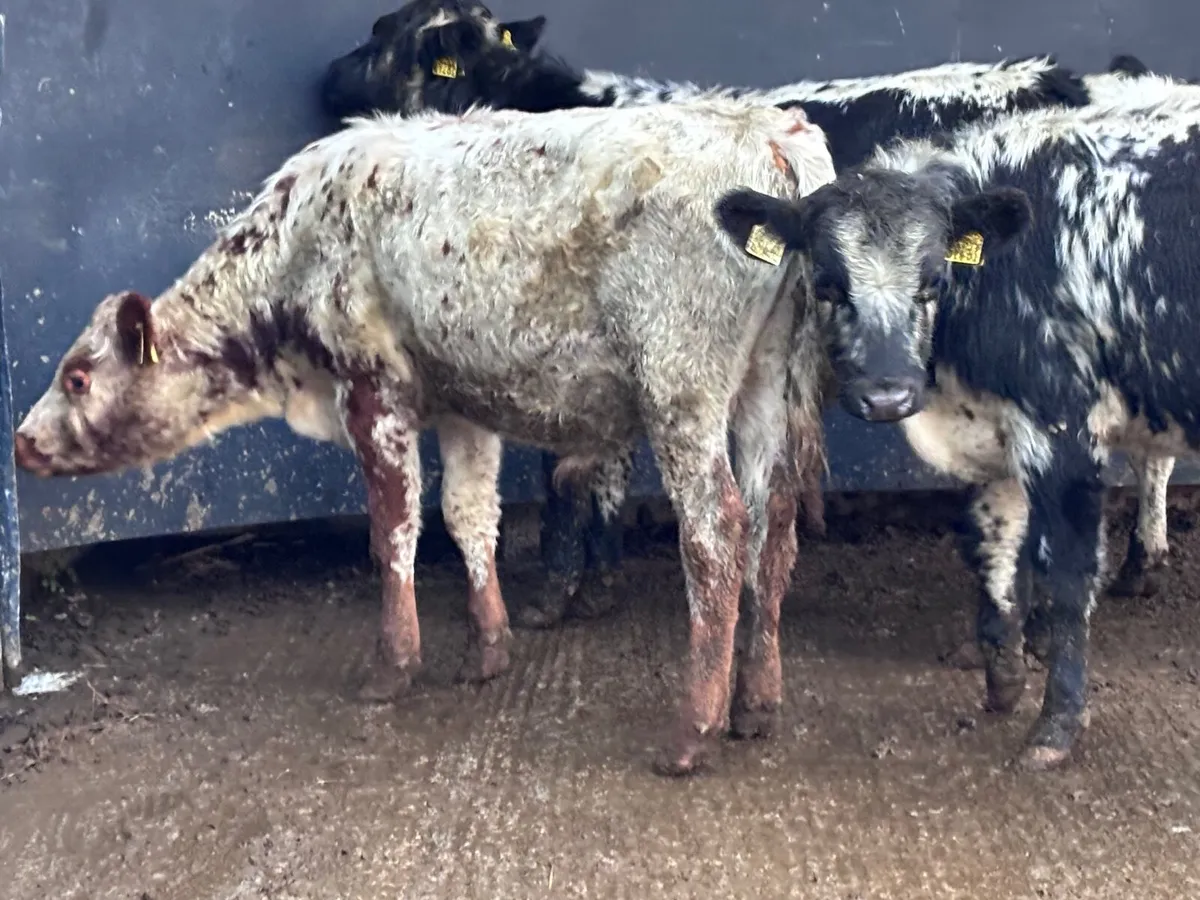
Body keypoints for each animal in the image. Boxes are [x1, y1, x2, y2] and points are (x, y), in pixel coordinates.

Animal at [13, 97, 840, 776]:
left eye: (78, 377)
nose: (20, 439)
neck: (300, 237)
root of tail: (770, 130)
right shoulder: (464, 400)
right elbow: (470, 517)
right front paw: (488, 647)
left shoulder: (373, 389)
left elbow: (395, 528)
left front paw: (394, 664)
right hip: (769, 385)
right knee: (773, 527)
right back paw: (755, 703)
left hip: (681, 386)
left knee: (716, 533)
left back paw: (692, 729)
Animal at [707, 75, 1200, 769]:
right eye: (827, 284)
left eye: (935, 278)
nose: (887, 396)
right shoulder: (997, 434)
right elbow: (993, 549)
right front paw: (1002, 676)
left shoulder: (1064, 431)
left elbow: (1067, 576)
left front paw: (1055, 725)